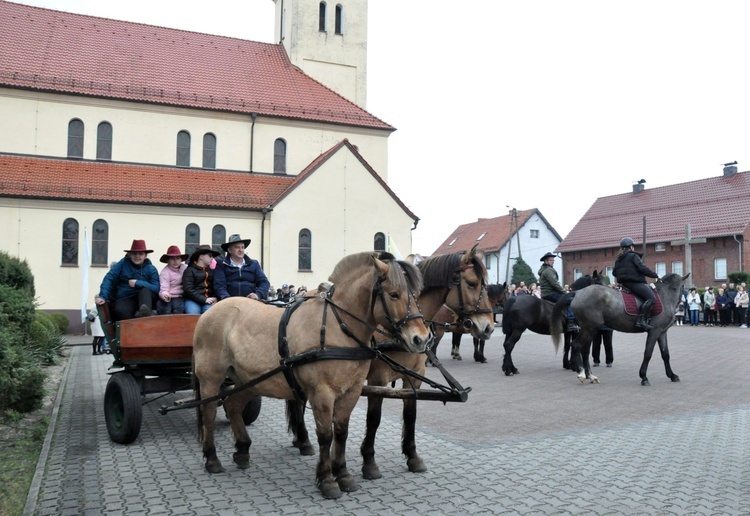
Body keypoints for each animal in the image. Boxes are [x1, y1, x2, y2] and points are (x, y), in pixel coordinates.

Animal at [191, 252, 432, 498]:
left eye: (416, 294)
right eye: (394, 294)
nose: (421, 339)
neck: (337, 328)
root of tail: (212, 310)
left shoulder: (352, 391)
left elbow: (341, 432)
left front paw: (343, 474)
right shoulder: (322, 393)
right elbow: (326, 435)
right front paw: (327, 479)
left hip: (248, 380)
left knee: (233, 405)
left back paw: (242, 450)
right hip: (211, 378)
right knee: (208, 412)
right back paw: (212, 458)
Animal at [284, 246, 496, 480]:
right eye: (472, 283)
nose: (488, 327)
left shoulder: (414, 375)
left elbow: (410, 416)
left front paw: (412, 456)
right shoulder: (378, 379)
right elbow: (374, 419)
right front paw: (369, 462)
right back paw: (304, 440)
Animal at [548, 272, 692, 384]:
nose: (682, 303)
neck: (665, 295)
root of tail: (577, 293)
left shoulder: (662, 332)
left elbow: (665, 354)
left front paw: (672, 375)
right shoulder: (654, 331)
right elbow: (648, 353)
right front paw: (644, 377)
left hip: (589, 329)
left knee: (583, 350)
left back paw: (590, 376)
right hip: (589, 328)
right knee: (577, 346)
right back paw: (582, 374)